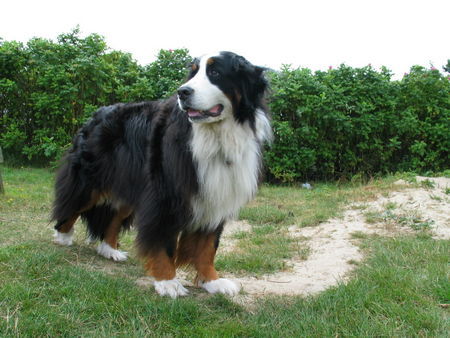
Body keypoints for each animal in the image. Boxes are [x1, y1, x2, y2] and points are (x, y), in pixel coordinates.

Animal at [51, 50, 272, 298]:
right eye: (193, 73)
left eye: (215, 73)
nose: (182, 92)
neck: (215, 136)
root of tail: (96, 113)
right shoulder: (165, 195)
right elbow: (164, 242)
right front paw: (168, 282)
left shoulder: (216, 194)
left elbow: (207, 245)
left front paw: (212, 281)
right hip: (90, 181)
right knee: (71, 205)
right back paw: (63, 237)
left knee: (113, 217)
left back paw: (109, 250)